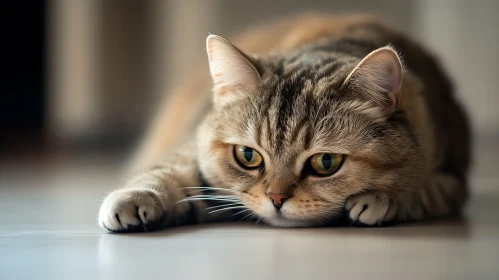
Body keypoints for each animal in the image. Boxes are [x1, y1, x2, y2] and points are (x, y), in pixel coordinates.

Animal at [96, 13, 468, 232]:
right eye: (248, 156)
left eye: (326, 162)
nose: (276, 198)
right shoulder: (192, 152)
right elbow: (169, 170)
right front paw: (135, 197)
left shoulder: (451, 181)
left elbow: (421, 191)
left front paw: (382, 199)